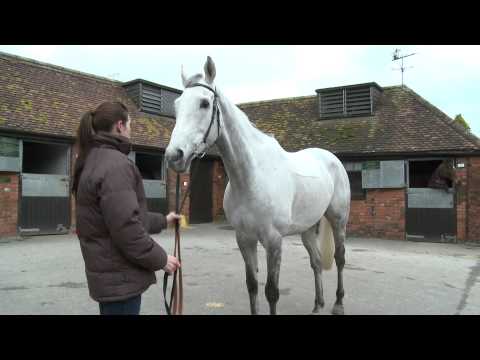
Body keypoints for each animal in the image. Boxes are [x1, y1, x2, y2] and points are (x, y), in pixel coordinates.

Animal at [167, 57, 350, 316]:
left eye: (204, 103)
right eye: (176, 106)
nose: (174, 156)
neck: (251, 178)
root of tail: (331, 158)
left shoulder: (273, 241)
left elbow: (271, 291)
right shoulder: (244, 239)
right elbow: (252, 286)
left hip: (338, 219)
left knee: (340, 258)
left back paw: (337, 304)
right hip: (307, 227)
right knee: (315, 262)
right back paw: (317, 305)